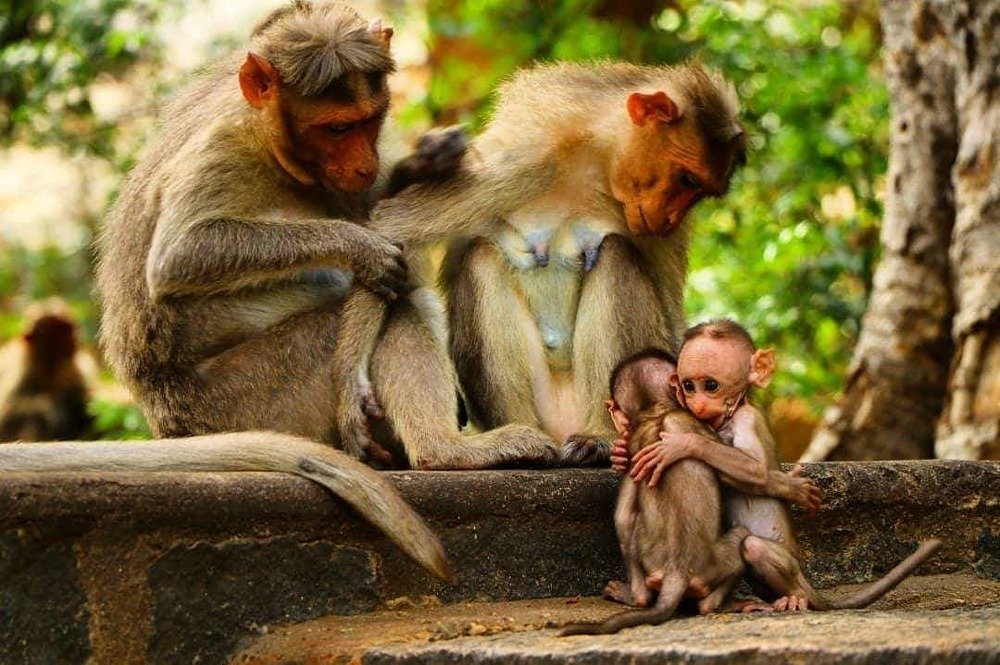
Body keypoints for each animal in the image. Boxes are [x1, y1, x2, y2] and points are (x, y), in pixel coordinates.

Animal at [0, 300, 94, 443]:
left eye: (66, 329)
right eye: (57, 330)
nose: (73, 340)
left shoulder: (77, 372)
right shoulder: (21, 373)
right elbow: (7, 418)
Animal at [359, 61, 749, 469]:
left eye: (698, 191)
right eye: (686, 179)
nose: (671, 218)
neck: (596, 162)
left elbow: (672, 320)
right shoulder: (523, 155)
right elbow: (390, 231)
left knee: (614, 255)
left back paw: (599, 439)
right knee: (482, 257)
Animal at [559, 349, 750, 636]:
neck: (655, 411)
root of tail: (678, 571)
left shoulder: (634, 455)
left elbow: (623, 517)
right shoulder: (692, 422)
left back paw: (634, 596)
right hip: (716, 563)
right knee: (740, 540)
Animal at [624, 319, 942, 611]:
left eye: (710, 385)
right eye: (688, 385)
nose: (697, 404)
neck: (729, 416)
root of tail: (806, 582)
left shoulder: (747, 419)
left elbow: (755, 471)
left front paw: (684, 444)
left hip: (788, 566)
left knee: (753, 546)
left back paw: (793, 599)